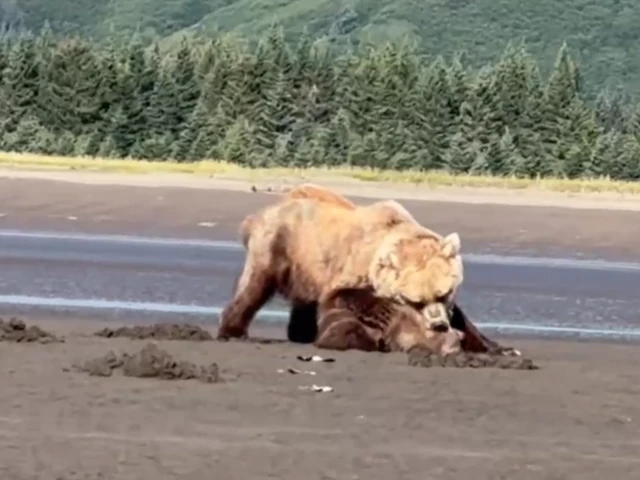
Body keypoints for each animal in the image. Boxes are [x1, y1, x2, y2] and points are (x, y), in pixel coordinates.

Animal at [217, 188, 464, 342]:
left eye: (443, 293)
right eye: (416, 301)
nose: (439, 325)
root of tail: (257, 215)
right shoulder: (354, 266)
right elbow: (341, 296)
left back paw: (301, 333)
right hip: (278, 246)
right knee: (254, 286)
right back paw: (232, 331)